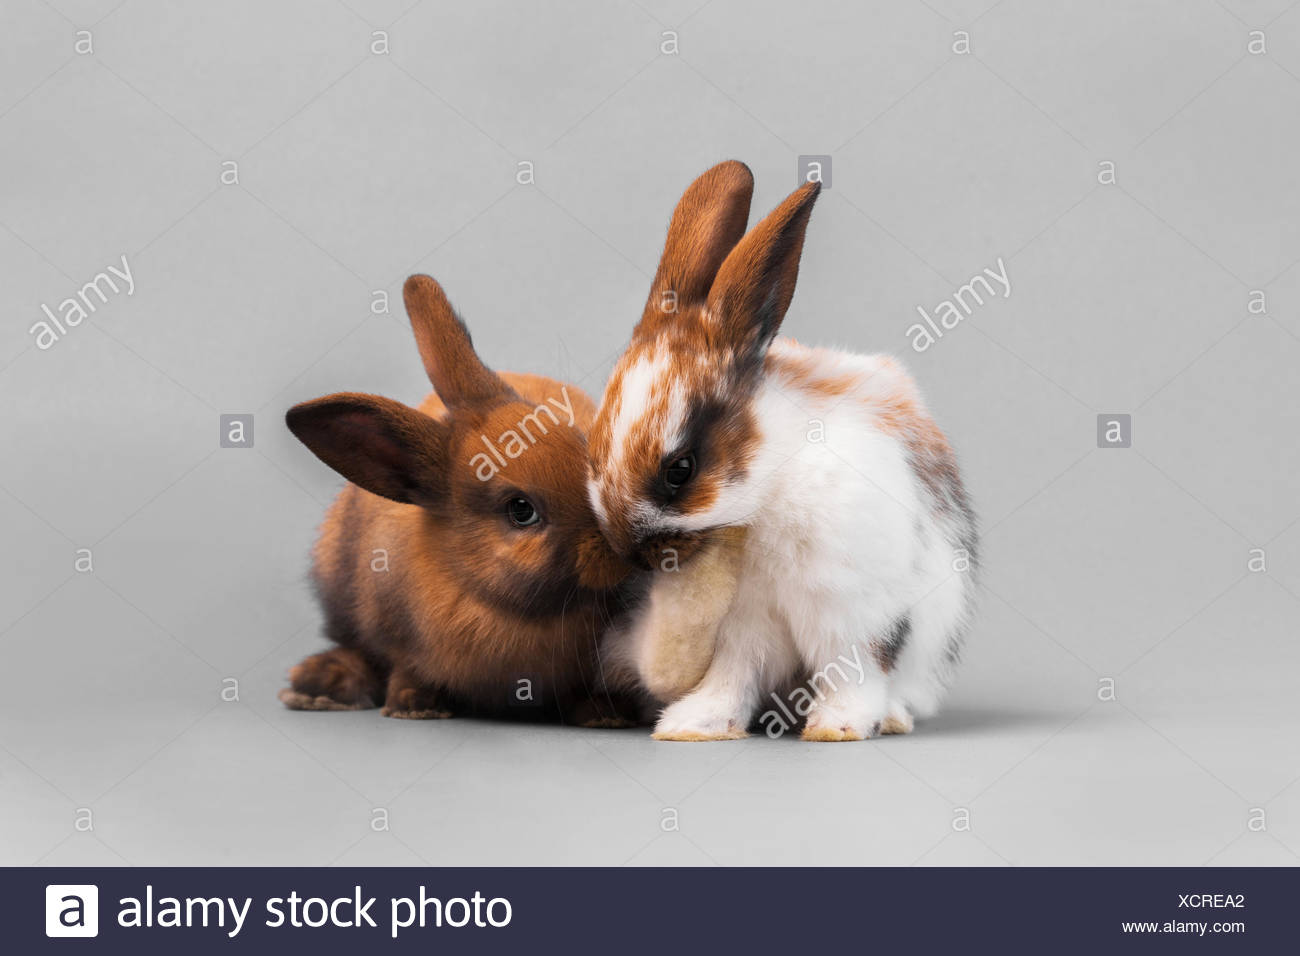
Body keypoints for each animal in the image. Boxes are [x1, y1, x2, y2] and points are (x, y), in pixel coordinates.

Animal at [279, 274, 646, 725]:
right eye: (520, 509)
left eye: (582, 444)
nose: (621, 544)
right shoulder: (393, 632)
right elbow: (403, 665)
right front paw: (413, 706)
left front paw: (606, 715)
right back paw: (319, 684)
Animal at [588, 161, 979, 741]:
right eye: (592, 452)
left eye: (681, 470)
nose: (632, 553)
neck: (771, 488)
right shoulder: (745, 627)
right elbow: (734, 676)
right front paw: (693, 724)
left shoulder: (854, 614)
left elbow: (853, 672)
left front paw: (837, 727)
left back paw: (888, 718)